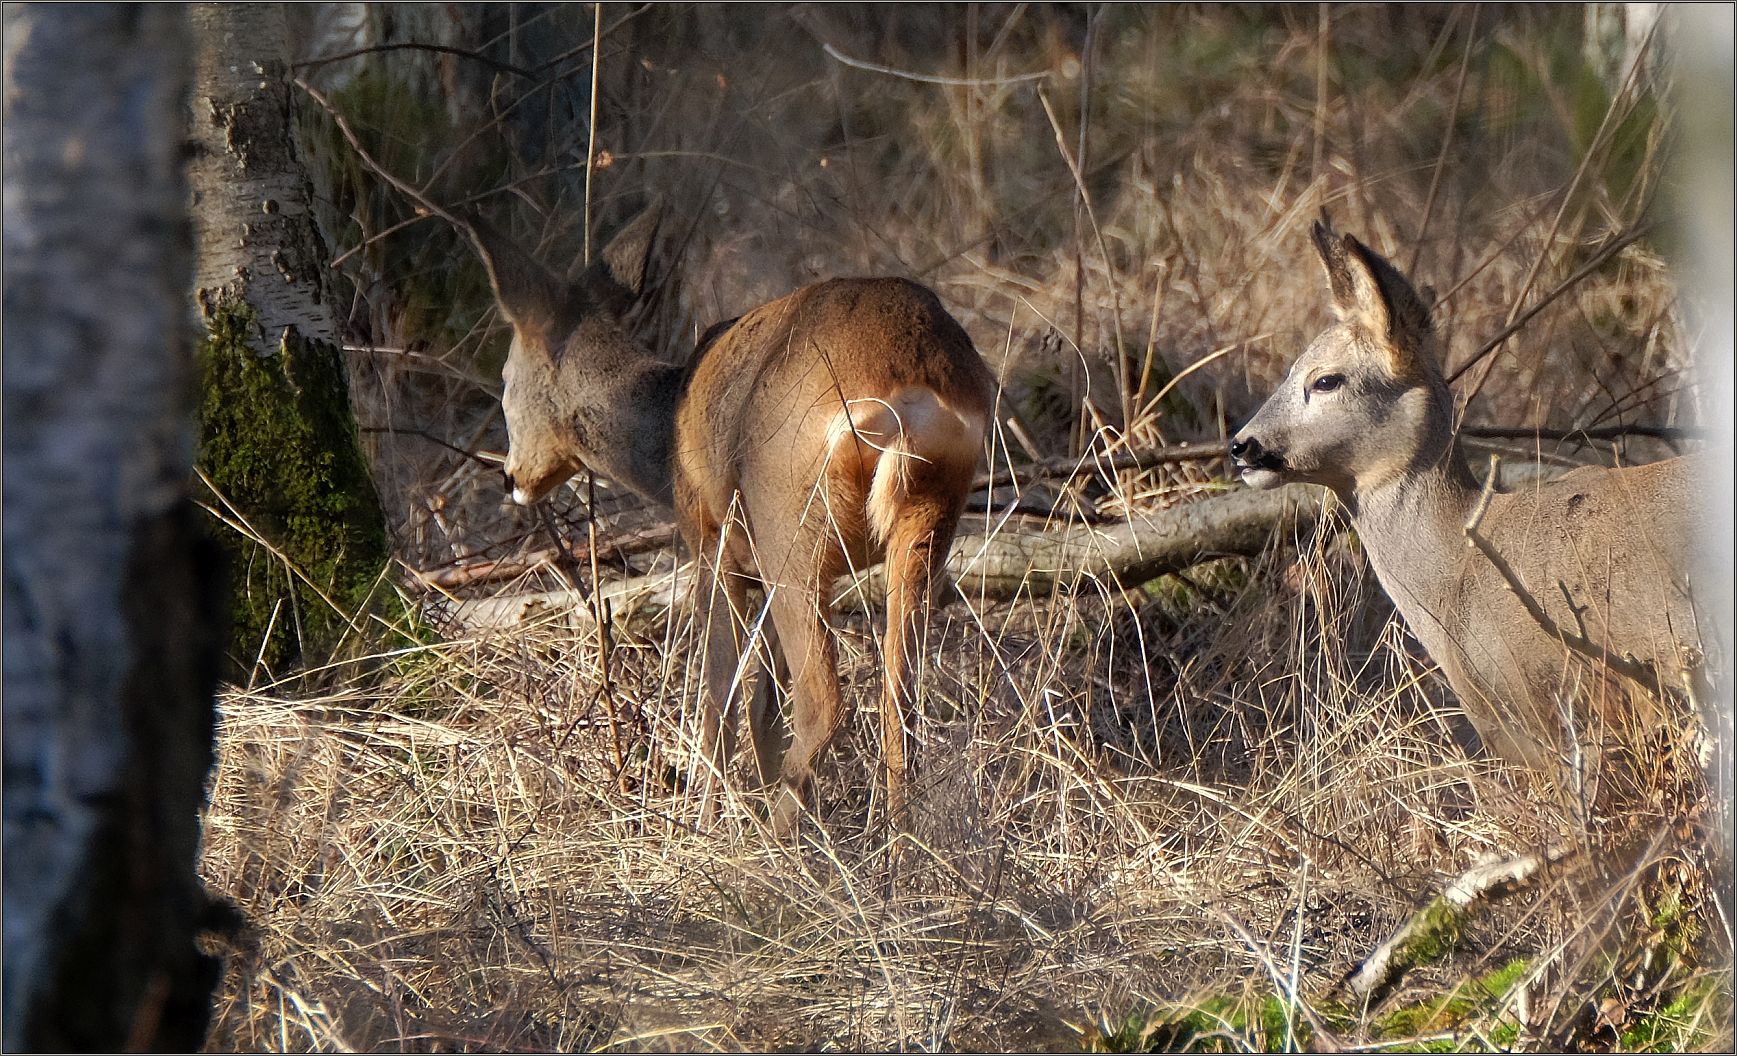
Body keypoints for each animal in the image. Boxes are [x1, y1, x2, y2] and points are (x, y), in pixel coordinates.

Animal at [462, 208, 1000, 833]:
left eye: (504, 380)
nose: (511, 478)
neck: (666, 428)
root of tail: (912, 390)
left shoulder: (712, 544)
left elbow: (718, 698)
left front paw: (706, 818)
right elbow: (764, 702)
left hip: (786, 515)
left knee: (823, 701)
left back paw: (776, 842)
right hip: (926, 517)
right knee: (899, 704)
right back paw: (895, 845)